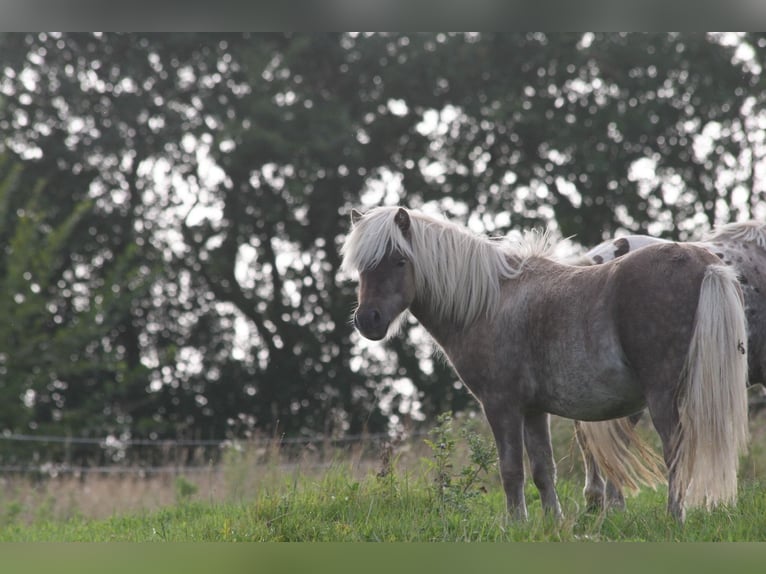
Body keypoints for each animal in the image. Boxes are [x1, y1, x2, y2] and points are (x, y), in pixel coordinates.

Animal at [344, 207, 752, 520]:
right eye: (362, 267)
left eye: (399, 261)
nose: (368, 321)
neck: (489, 302)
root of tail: (705, 264)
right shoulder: (534, 409)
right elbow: (543, 470)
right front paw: (551, 523)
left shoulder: (501, 405)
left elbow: (511, 470)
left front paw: (515, 524)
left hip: (663, 395)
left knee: (675, 451)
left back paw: (673, 517)